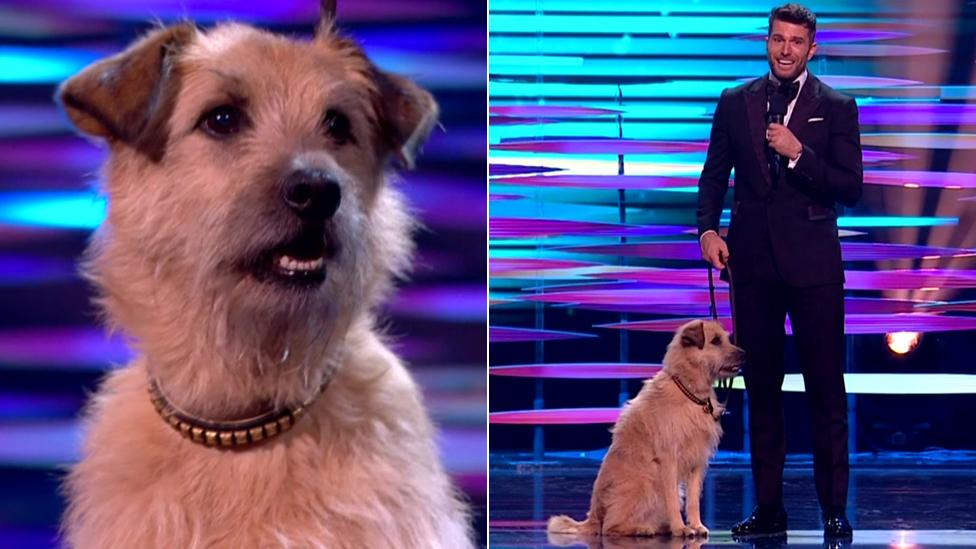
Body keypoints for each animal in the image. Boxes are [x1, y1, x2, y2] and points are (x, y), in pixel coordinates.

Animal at [544, 318, 744, 536]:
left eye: (726, 339)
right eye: (715, 341)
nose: (744, 354)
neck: (689, 390)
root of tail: (593, 517)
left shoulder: (697, 461)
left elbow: (693, 500)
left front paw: (696, 525)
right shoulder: (668, 459)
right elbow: (672, 500)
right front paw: (680, 528)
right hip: (646, 484)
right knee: (609, 526)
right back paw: (641, 528)